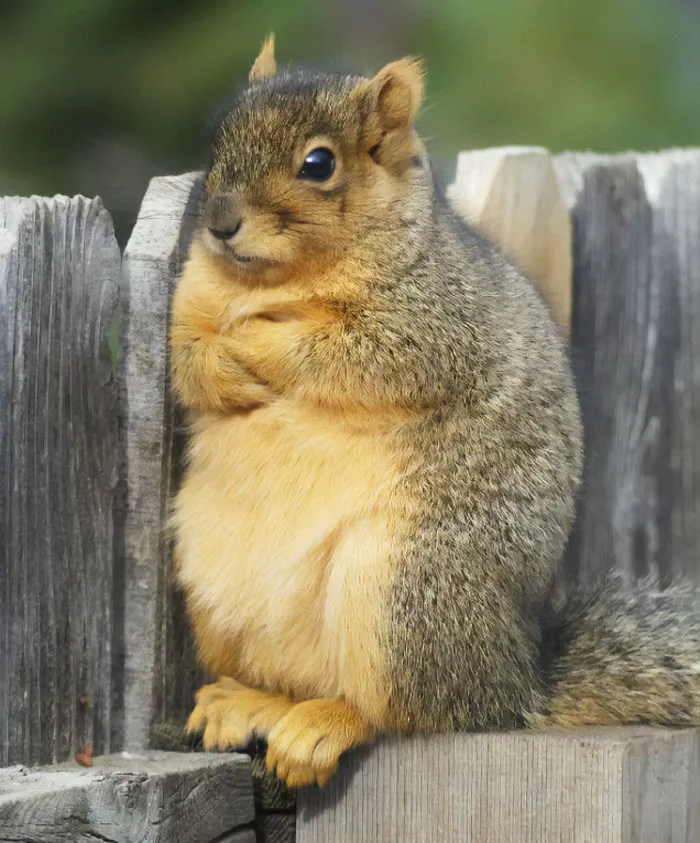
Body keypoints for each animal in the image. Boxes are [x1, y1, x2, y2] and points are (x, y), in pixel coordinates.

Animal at [169, 35, 700, 789]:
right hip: (213, 587)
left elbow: (352, 353)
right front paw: (222, 364)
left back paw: (325, 725)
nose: (218, 224)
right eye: (217, 138)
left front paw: (258, 341)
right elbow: (186, 359)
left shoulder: (436, 320)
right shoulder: (189, 301)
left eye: (318, 164)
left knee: (403, 711)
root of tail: (514, 681)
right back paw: (251, 701)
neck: (274, 280)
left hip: (403, 590)